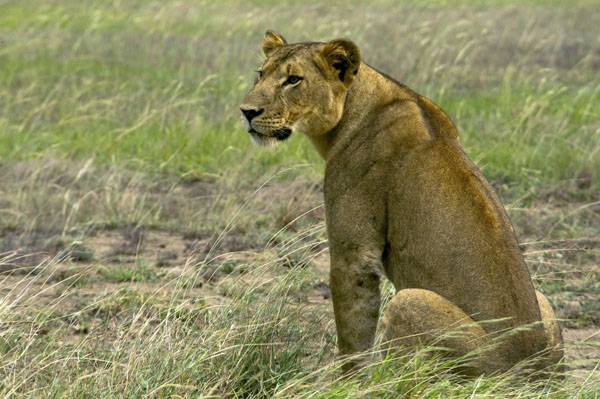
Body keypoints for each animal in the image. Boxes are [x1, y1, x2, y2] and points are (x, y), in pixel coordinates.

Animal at [239, 31, 564, 378]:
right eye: (260, 74)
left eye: (293, 80)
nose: (246, 111)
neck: (354, 110)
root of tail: (532, 373)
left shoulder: (354, 253)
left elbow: (353, 334)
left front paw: (350, 383)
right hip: (543, 301)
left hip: (409, 303)